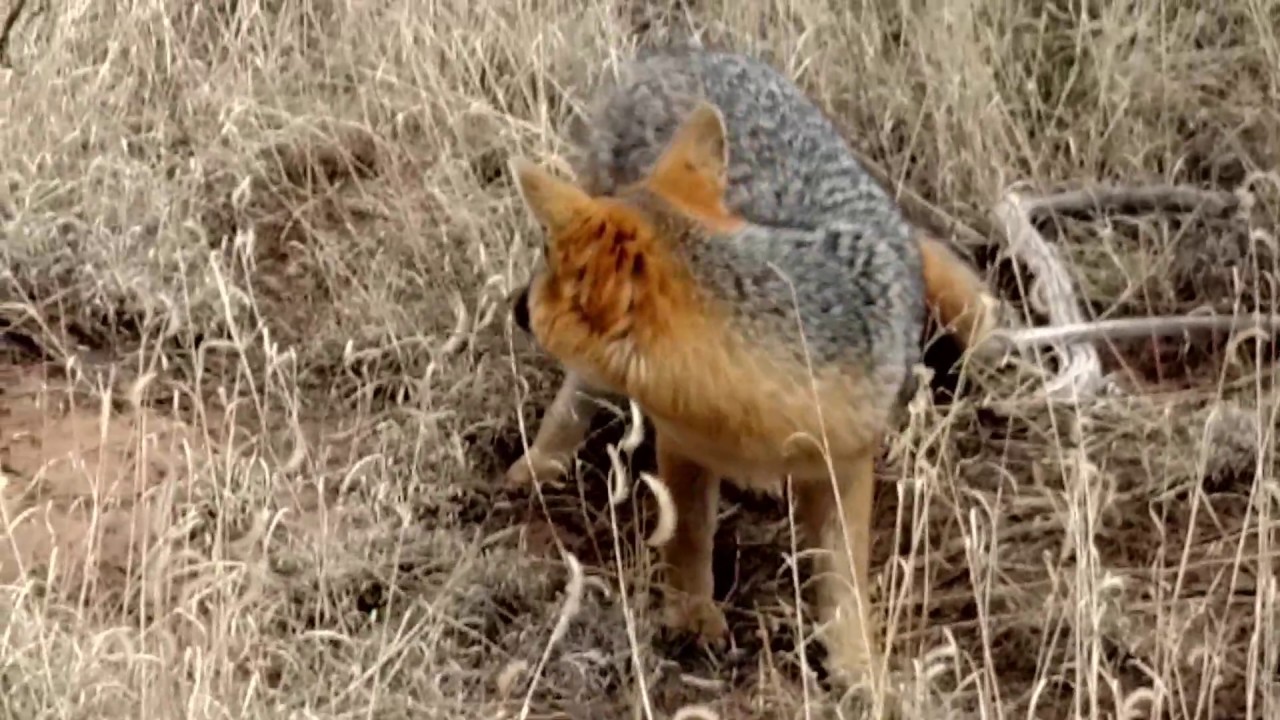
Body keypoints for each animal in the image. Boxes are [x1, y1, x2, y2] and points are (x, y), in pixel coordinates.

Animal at [503, 48, 996, 689]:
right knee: (576, 396)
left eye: (544, 271)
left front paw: (857, 666)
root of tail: (685, 51)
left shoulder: (844, 465)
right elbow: (687, 538)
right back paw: (539, 463)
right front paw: (694, 618)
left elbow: (843, 578)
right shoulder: (682, 445)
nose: (515, 307)